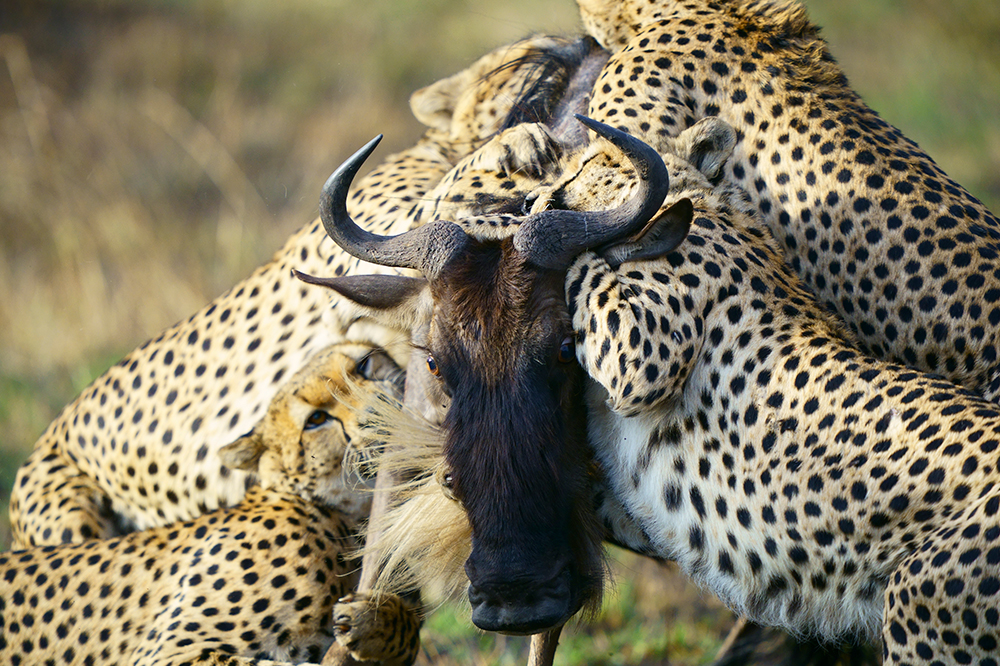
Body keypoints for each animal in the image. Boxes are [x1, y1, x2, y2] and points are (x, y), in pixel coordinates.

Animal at [0, 342, 422, 664]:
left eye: (364, 365)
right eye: (316, 419)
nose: (379, 413)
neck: (347, 520)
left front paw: (378, 620)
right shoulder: (167, 653)